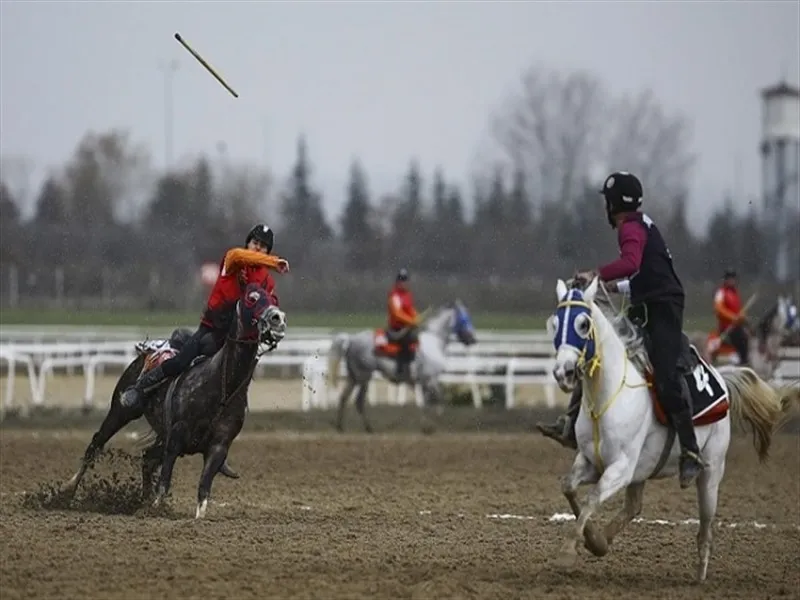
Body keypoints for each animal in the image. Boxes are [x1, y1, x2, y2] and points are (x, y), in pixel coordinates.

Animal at [61, 284, 288, 516]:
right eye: (252, 298)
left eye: (274, 298)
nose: (278, 318)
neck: (221, 386)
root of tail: (148, 350)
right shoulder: (176, 436)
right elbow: (164, 482)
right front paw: (155, 508)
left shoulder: (219, 446)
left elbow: (203, 489)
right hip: (121, 410)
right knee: (96, 444)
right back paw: (67, 491)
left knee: (147, 458)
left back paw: (142, 501)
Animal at [544, 280, 792, 580]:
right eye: (555, 323)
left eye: (582, 324)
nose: (563, 372)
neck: (608, 396)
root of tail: (721, 378)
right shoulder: (592, 462)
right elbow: (568, 486)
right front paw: (593, 540)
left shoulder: (620, 468)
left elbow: (592, 499)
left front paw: (567, 553)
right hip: (644, 471)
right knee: (634, 507)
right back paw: (604, 541)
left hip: (711, 473)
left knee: (705, 526)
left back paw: (700, 574)